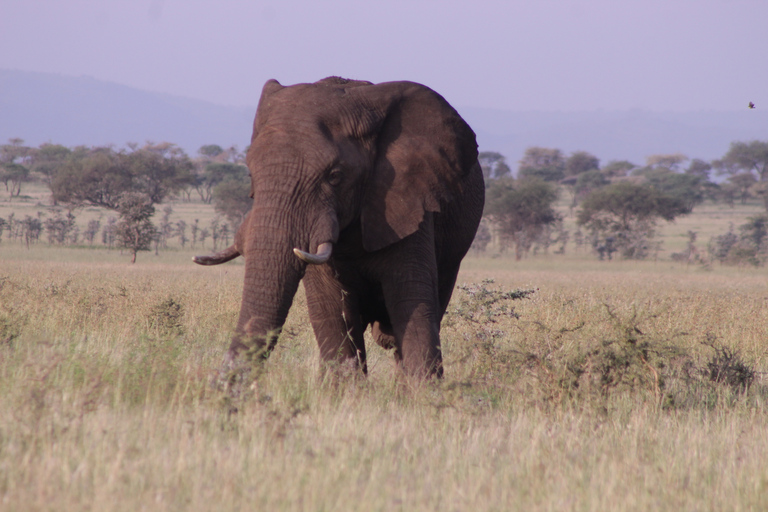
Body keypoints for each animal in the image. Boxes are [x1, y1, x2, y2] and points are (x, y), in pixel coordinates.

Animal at [196, 77, 486, 380]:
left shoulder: (412, 205)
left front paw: (423, 391)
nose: (217, 382)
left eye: (334, 176)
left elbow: (413, 305)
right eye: (250, 174)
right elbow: (332, 310)